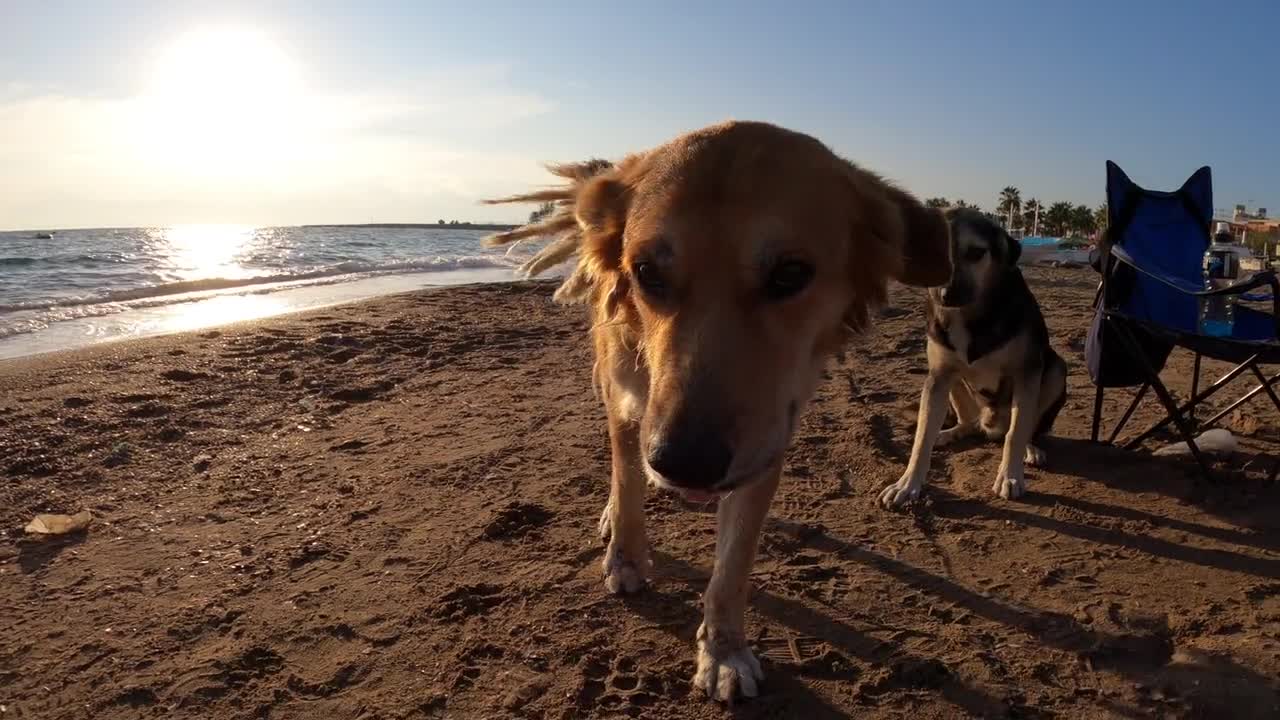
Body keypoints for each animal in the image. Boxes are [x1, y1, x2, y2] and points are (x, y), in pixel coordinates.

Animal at [481, 120, 952, 696]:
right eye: (645, 271)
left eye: (791, 273)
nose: (685, 463)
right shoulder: (630, 402)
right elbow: (628, 479)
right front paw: (626, 556)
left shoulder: (769, 433)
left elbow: (733, 563)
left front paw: (723, 651)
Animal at [880, 207, 1070, 504]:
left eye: (976, 253)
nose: (946, 293)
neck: (968, 316)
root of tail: (990, 427)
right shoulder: (938, 376)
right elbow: (922, 436)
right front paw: (908, 483)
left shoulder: (1027, 372)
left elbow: (1016, 432)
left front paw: (1010, 475)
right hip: (956, 384)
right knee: (967, 423)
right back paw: (949, 433)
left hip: (1055, 371)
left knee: (1025, 427)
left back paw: (1031, 448)